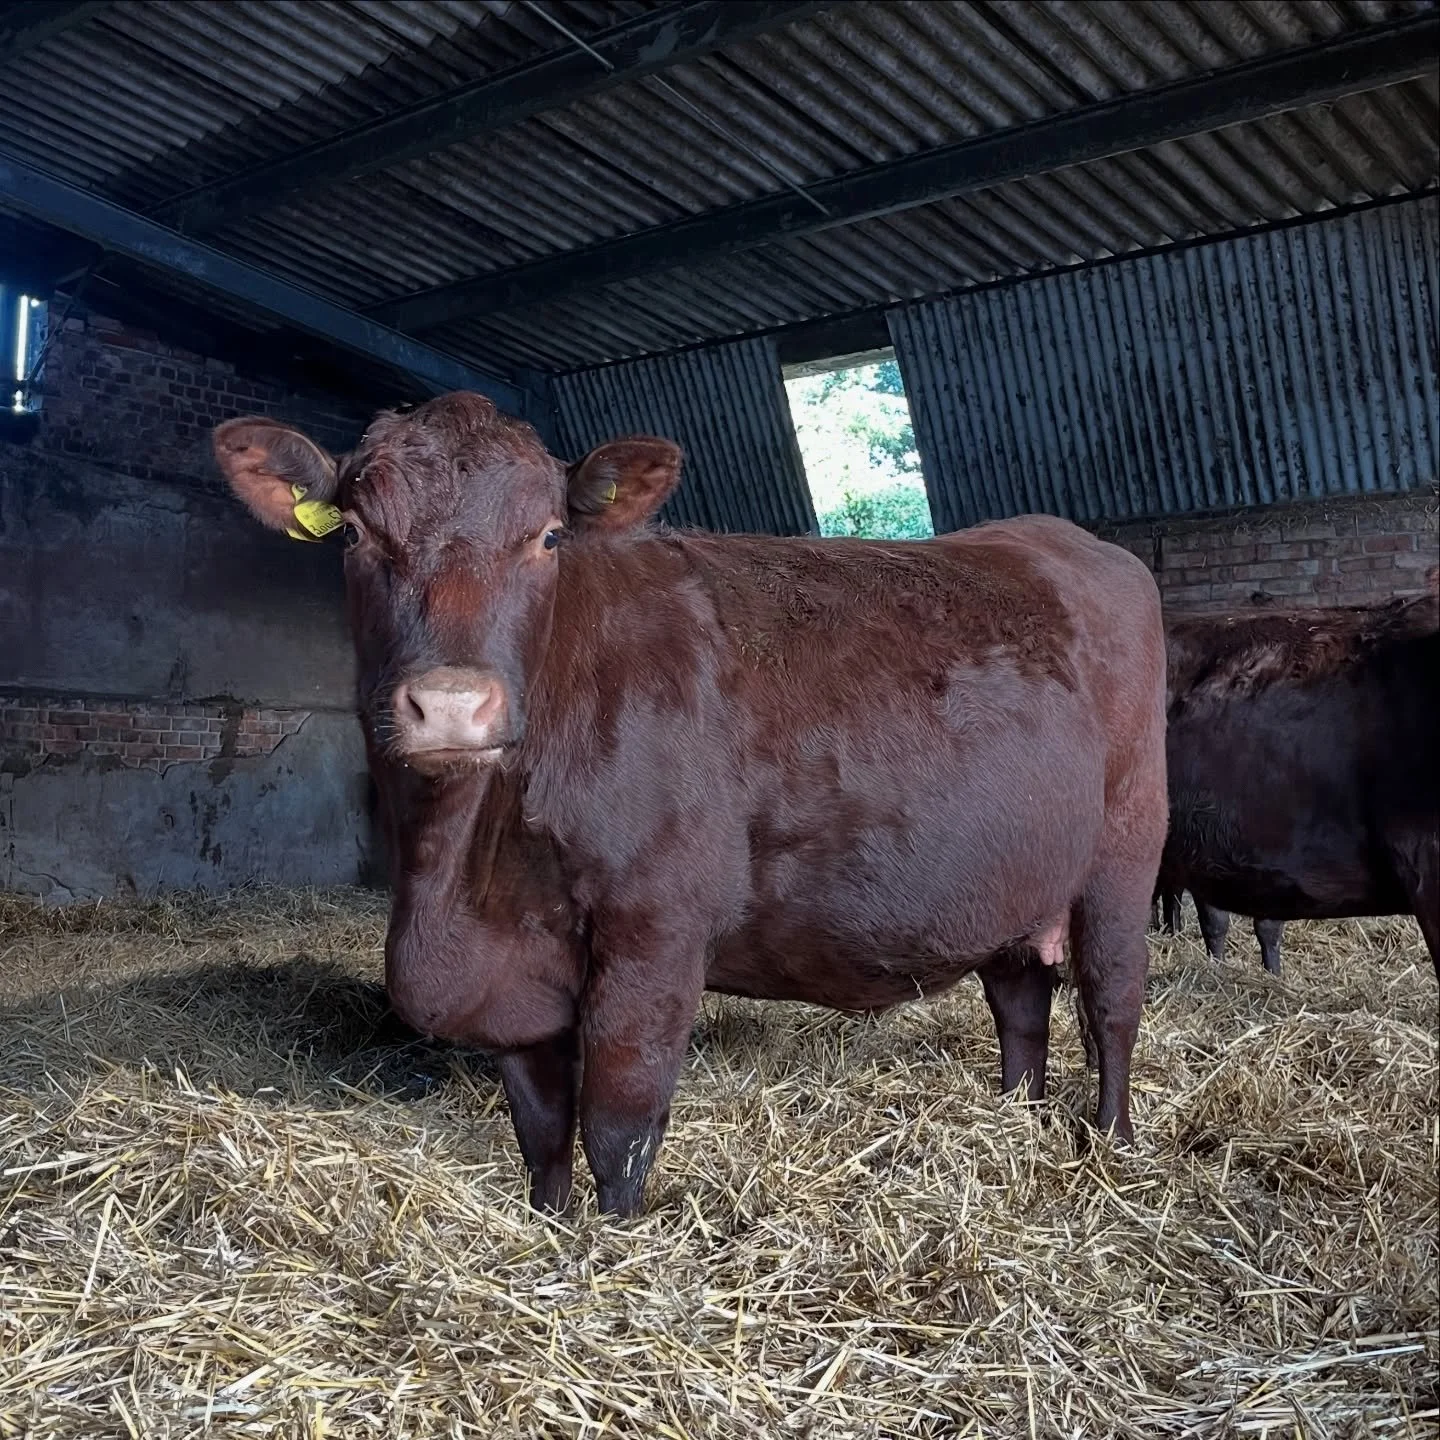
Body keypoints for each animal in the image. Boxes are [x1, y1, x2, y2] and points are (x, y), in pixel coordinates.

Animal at [213, 393, 1168, 1218]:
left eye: (547, 536)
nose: (451, 705)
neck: (459, 876)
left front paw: (614, 1251)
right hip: (1011, 877)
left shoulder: (655, 928)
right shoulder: (515, 977)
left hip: (1125, 851)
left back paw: (1111, 1147)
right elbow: (541, 1132)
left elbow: (619, 1121)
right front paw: (553, 1230)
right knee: (1021, 1005)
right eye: (357, 534)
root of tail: (1062, 540)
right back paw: (1018, 1122)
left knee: (1111, 1002)